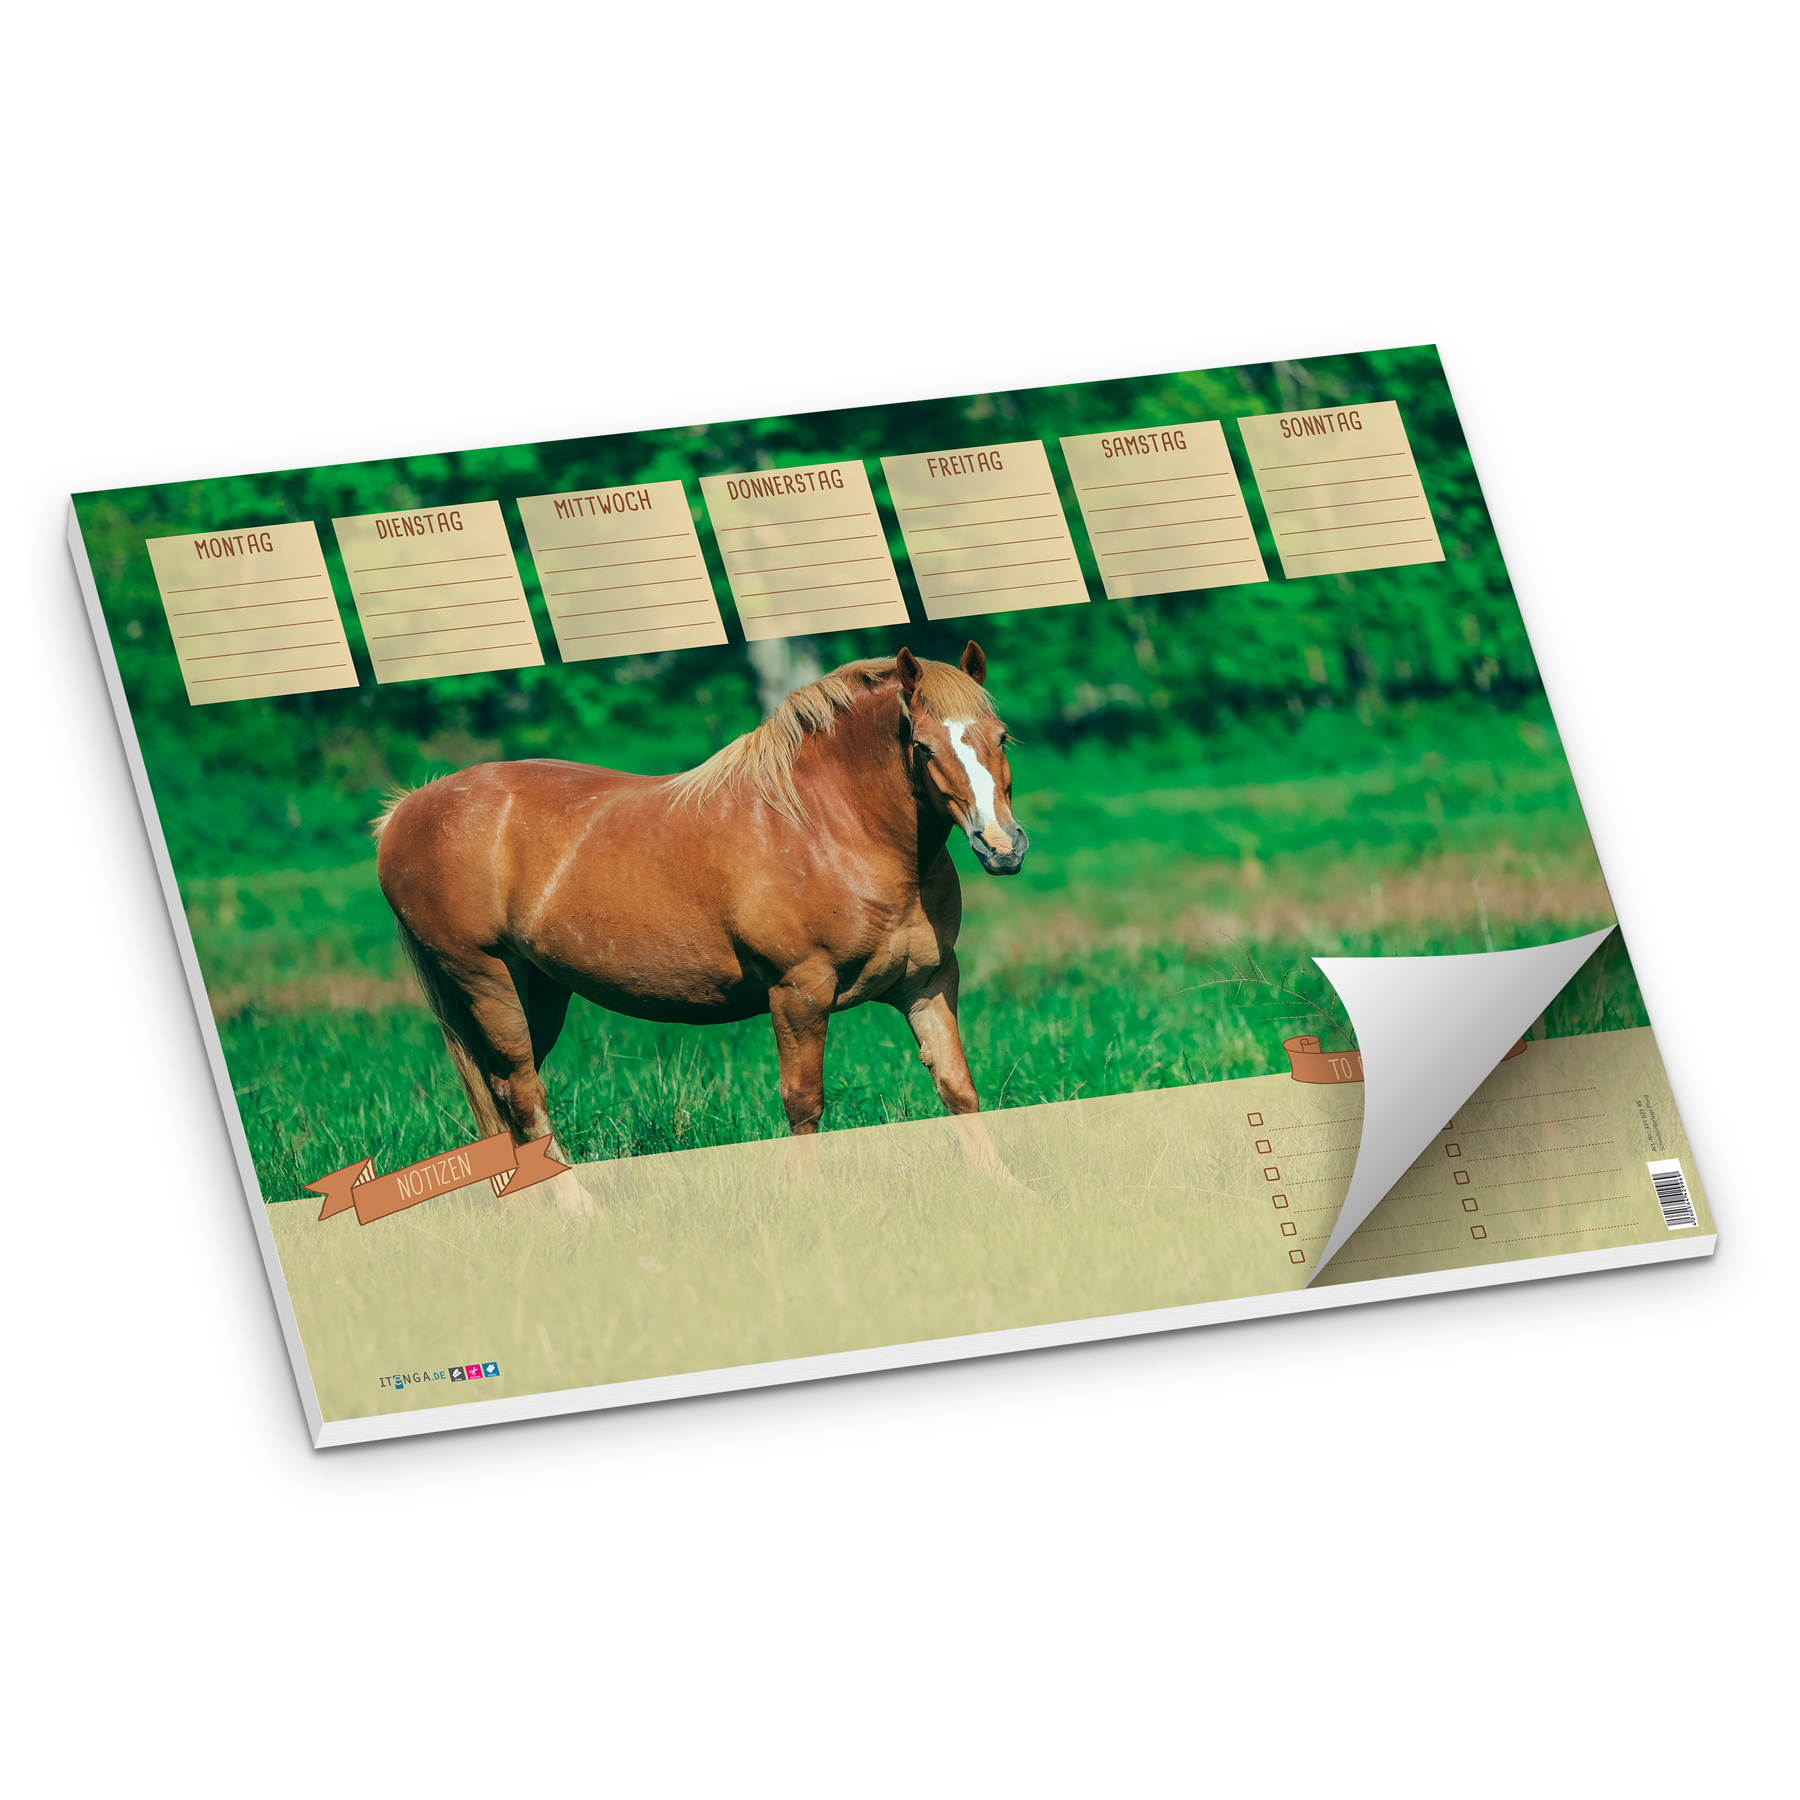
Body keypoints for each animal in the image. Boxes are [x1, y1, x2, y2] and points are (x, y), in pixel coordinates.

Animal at [372, 643, 1028, 1184]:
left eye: (1001, 737)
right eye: (922, 746)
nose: (1002, 846)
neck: (830, 827)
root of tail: (406, 810)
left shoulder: (928, 982)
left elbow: (958, 1087)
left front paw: (1006, 1190)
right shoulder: (799, 994)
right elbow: (804, 1103)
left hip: (540, 991)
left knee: (505, 1093)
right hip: (488, 981)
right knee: (525, 1097)